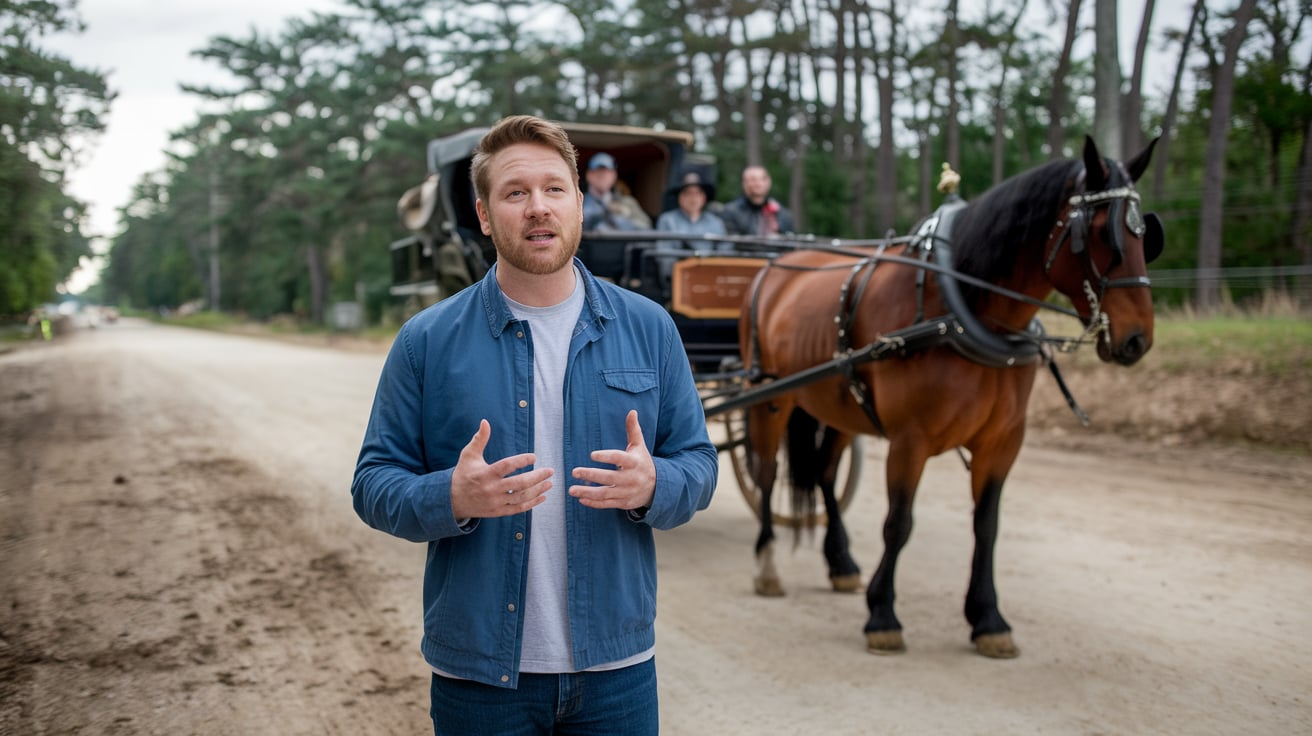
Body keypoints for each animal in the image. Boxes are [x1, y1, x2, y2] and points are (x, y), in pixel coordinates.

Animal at [745, 136, 1165, 653]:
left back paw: (840, 562)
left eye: (1146, 235)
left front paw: (988, 619)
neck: (960, 304)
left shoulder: (1001, 442)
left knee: (823, 473)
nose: (1136, 339)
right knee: (767, 474)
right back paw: (767, 563)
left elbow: (986, 526)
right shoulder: (910, 440)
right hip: (769, 397)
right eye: (1102, 234)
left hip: (840, 404)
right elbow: (899, 522)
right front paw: (882, 614)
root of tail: (775, 266)